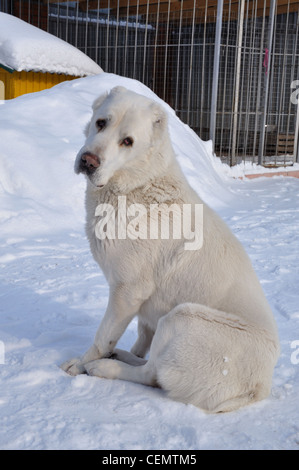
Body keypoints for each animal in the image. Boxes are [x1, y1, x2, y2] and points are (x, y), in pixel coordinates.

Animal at [61, 87, 282, 412]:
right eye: (101, 123)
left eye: (127, 141)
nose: (88, 161)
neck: (136, 185)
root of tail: (260, 388)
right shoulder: (144, 307)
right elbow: (141, 337)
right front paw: (124, 351)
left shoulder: (127, 292)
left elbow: (103, 338)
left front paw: (80, 364)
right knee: (150, 362)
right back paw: (124, 357)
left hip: (182, 316)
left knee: (152, 374)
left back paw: (105, 367)